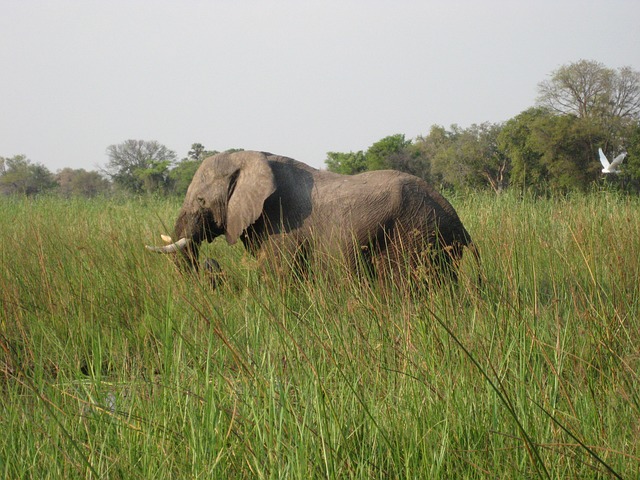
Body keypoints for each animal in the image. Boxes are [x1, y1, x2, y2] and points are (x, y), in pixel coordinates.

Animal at [145, 150, 476, 284]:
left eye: (201, 201)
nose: (210, 265)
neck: (249, 158)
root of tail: (458, 220)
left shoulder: (283, 227)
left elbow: (279, 277)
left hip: (418, 235)